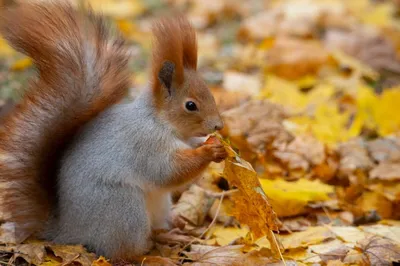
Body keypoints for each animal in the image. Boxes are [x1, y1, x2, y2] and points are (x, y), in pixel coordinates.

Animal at [0, 1, 228, 260]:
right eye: (190, 105)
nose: (218, 126)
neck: (160, 122)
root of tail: (68, 232)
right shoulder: (144, 144)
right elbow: (168, 171)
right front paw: (210, 151)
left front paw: (218, 146)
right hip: (123, 209)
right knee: (126, 253)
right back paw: (158, 246)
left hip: (158, 204)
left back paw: (172, 232)